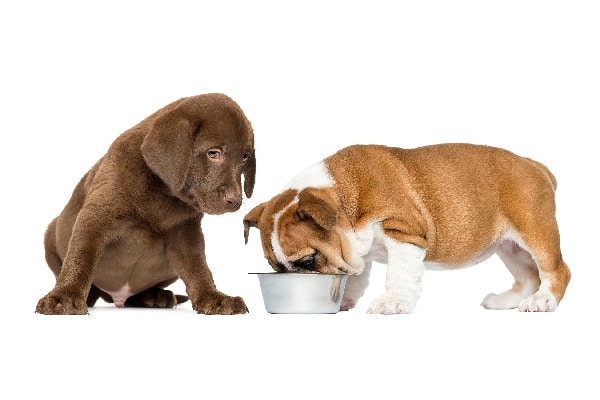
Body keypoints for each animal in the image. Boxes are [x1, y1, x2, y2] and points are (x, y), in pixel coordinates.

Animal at [36, 94, 254, 316]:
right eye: (213, 153)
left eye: (245, 157)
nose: (235, 201)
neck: (163, 194)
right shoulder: (94, 218)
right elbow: (80, 259)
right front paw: (65, 296)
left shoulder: (186, 232)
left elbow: (198, 268)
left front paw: (213, 298)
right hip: (50, 233)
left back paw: (155, 296)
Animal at [244, 142, 572, 314]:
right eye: (274, 268)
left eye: (308, 261)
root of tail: (535, 165)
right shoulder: (356, 250)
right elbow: (357, 274)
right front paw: (347, 298)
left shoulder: (403, 233)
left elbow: (398, 275)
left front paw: (393, 302)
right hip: (509, 247)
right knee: (528, 276)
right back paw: (509, 301)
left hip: (535, 232)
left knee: (556, 271)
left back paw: (543, 301)